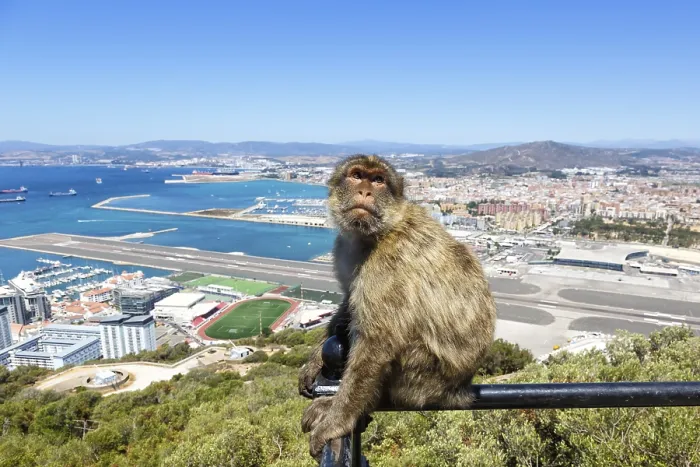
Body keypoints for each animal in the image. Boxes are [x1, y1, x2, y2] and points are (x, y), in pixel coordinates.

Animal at [298, 154, 497, 458]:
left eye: (379, 180)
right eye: (357, 175)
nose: (365, 191)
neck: (373, 235)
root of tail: (459, 390)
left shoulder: (387, 264)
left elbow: (377, 341)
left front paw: (336, 422)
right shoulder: (344, 248)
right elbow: (349, 301)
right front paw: (315, 360)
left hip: (421, 380)